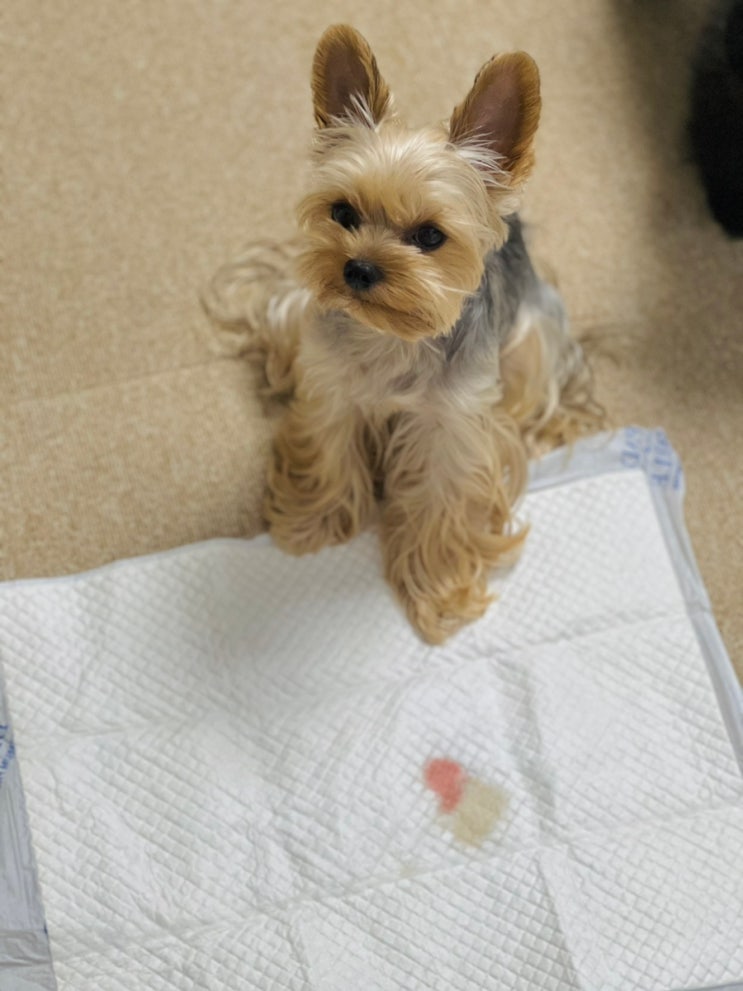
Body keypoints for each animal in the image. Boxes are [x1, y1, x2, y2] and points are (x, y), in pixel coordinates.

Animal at [206, 25, 603, 644]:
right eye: (343, 212)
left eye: (430, 236)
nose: (359, 268)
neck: (391, 336)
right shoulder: (332, 389)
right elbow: (330, 450)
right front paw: (314, 522)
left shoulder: (453, 428)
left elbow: (442, 501)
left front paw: (436, 592)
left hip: (532, 347)